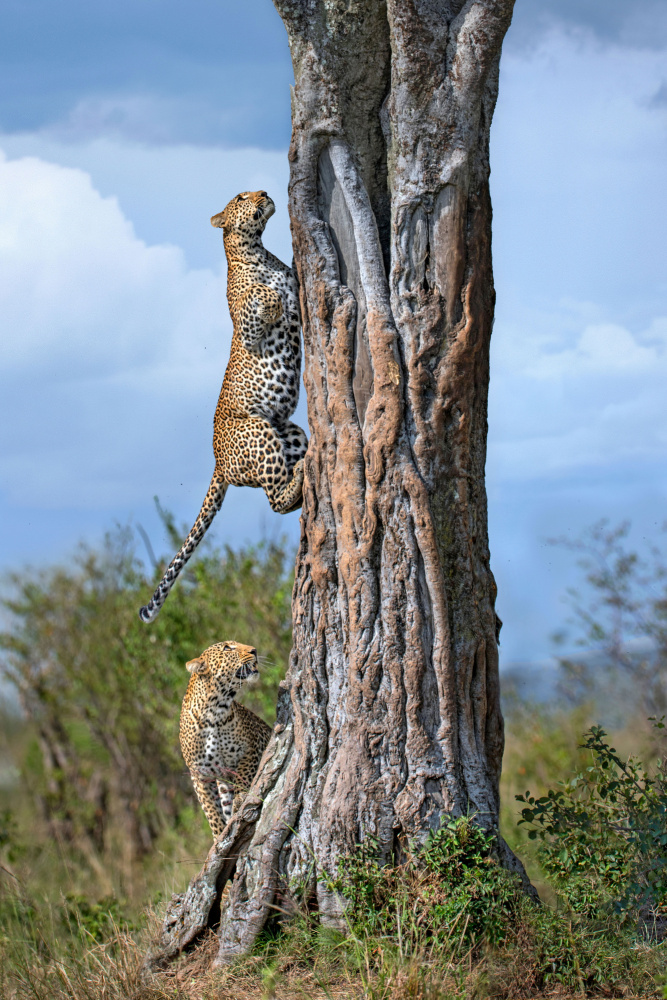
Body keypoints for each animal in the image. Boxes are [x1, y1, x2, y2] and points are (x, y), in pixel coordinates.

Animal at [139, 190, 307, 623]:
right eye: (240, 196)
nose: (264, 193)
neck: (257, 251)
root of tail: (217, 460)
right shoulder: (246, 326)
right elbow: (259, 297)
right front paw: (268, 293)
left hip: (289, 431)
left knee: (284, 485)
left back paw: (305, 469)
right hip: (259, 430)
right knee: (275, 500)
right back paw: (300, 478)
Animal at [179, 640, 272, 838]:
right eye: (228, 648)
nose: (254, 650)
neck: (215, 710)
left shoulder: (252, 746)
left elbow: (244, 775)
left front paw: (240, 799)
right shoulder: (199, 774)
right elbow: (211, 811)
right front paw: (218, 837)